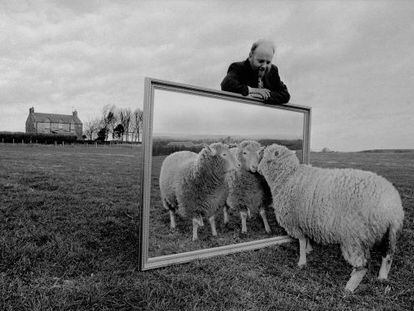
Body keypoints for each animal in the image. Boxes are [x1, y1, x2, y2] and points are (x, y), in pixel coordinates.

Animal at [258, 144, 406, 292]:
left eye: (263, 154)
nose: (257, 168)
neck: (287, 177)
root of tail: (392, 207)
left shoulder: (294, 221)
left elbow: (301, 241)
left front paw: (302, 261)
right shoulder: (305, 220)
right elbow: (306, 238)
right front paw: (309, 249)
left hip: (355, 236)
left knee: (363, 265)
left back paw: (349, 287)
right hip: (388, 232)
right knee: (388, 256)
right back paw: (382, 277)